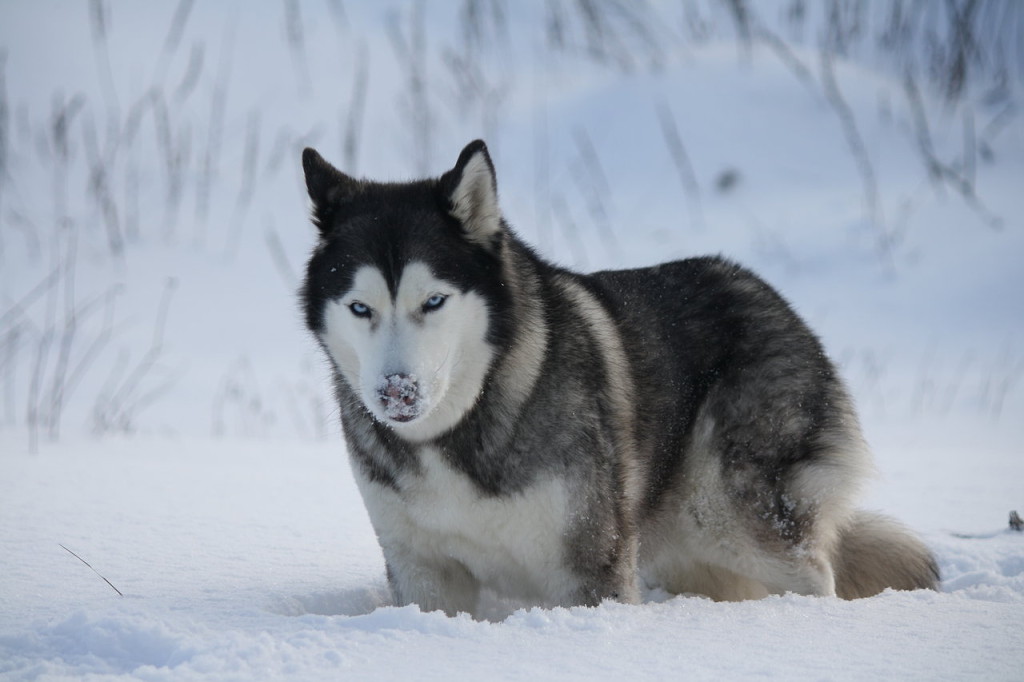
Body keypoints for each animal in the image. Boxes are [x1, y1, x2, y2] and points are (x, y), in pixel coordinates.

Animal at [299, 140, 938, 617]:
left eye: (433, 301)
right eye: (360, 308)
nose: (395, 393)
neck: (461, 426)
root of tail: (761, 289)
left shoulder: (589, 568)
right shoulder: (424, 573)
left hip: (730, 513)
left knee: (810, 575)